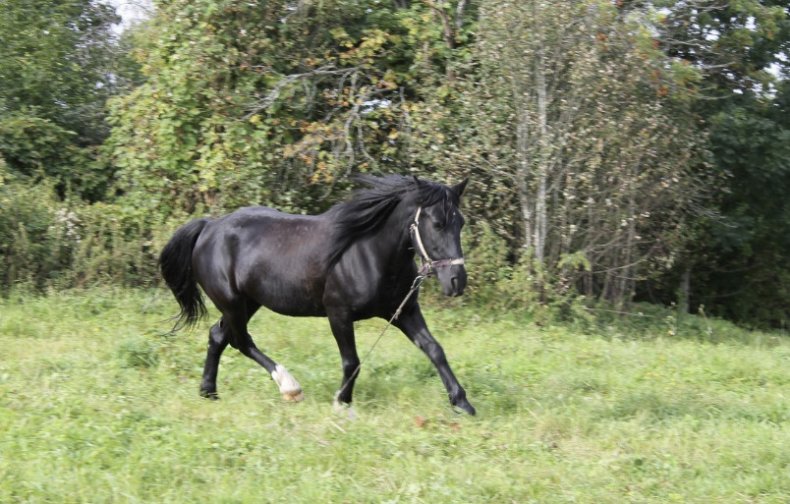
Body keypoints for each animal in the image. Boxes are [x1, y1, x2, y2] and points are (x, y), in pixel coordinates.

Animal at [158, 175, 474, 416]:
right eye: (437, 223)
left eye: (460, 222)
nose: (457, 281)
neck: (368, 252)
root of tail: (209, 227)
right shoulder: (338, 313)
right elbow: (352, 362)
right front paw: (342, 402)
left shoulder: (403, 312)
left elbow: (434, 349)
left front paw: (462, 403)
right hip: (233, 303)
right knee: (240, 340)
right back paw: (289, 386)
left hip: (248, 303)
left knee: (217, 335)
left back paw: (208, 392)